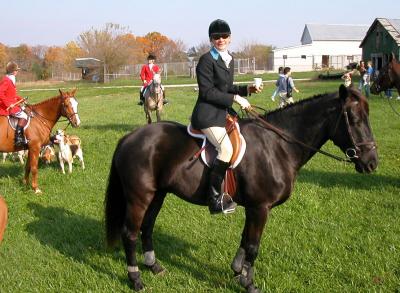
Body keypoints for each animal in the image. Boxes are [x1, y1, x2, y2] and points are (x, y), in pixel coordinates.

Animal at [104, 85, 378, 292]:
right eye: (354, 120)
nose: (372, 163)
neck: (278, 145)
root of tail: (129, 137)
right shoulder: (260, 207)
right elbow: (254, 246)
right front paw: (249, 283)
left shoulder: (254, 207)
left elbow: (245, 240)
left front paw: (238, 271)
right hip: (140, 197)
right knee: (130, 232)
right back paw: (136, 279)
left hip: (158, 194)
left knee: (147, 227)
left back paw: (154, 267)